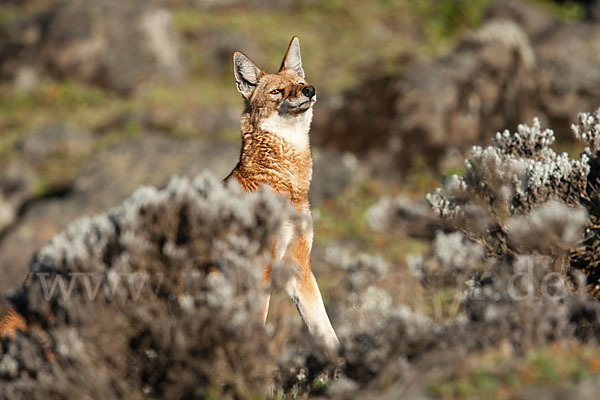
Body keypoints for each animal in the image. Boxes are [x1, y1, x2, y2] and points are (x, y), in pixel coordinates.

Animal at [225, 36, 340, 350]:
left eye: (301, 82)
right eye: (277, 91)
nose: (310, 90)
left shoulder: (299, 265)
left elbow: (327, 333)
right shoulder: (260, 272)